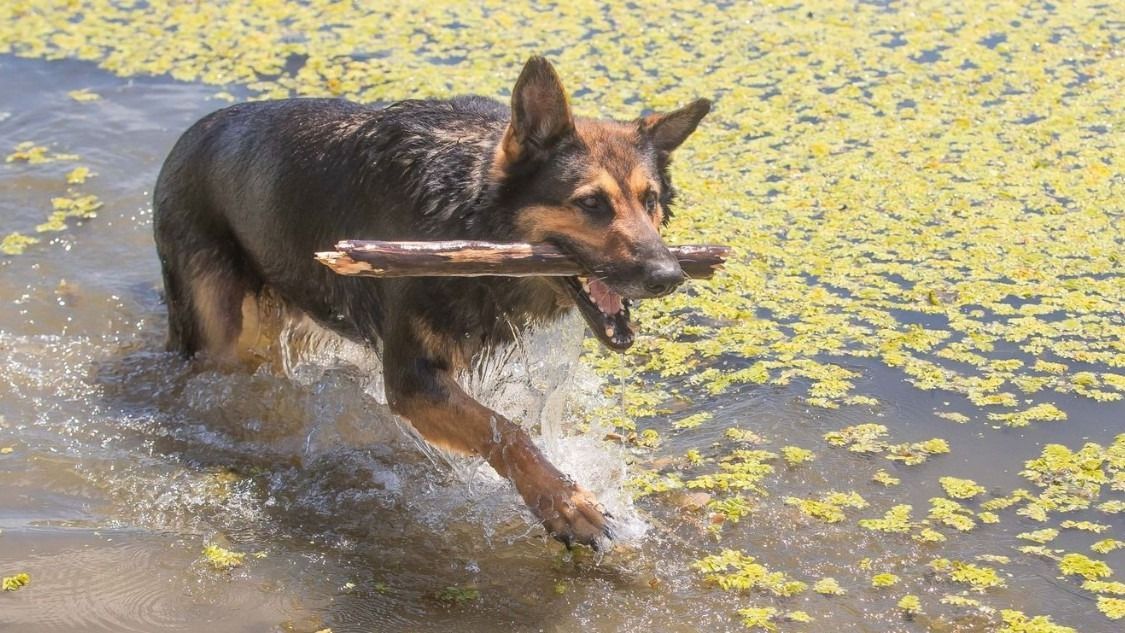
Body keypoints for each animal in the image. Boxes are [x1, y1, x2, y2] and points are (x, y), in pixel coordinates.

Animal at [153, 55, 706, 550]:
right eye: (592, 203)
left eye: (650, 200)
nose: (668, 276)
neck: (467, 211)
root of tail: (187, 137)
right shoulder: (413, 381)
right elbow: (504, 429)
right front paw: (565, 503)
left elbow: (509, 423)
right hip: (223, 335)